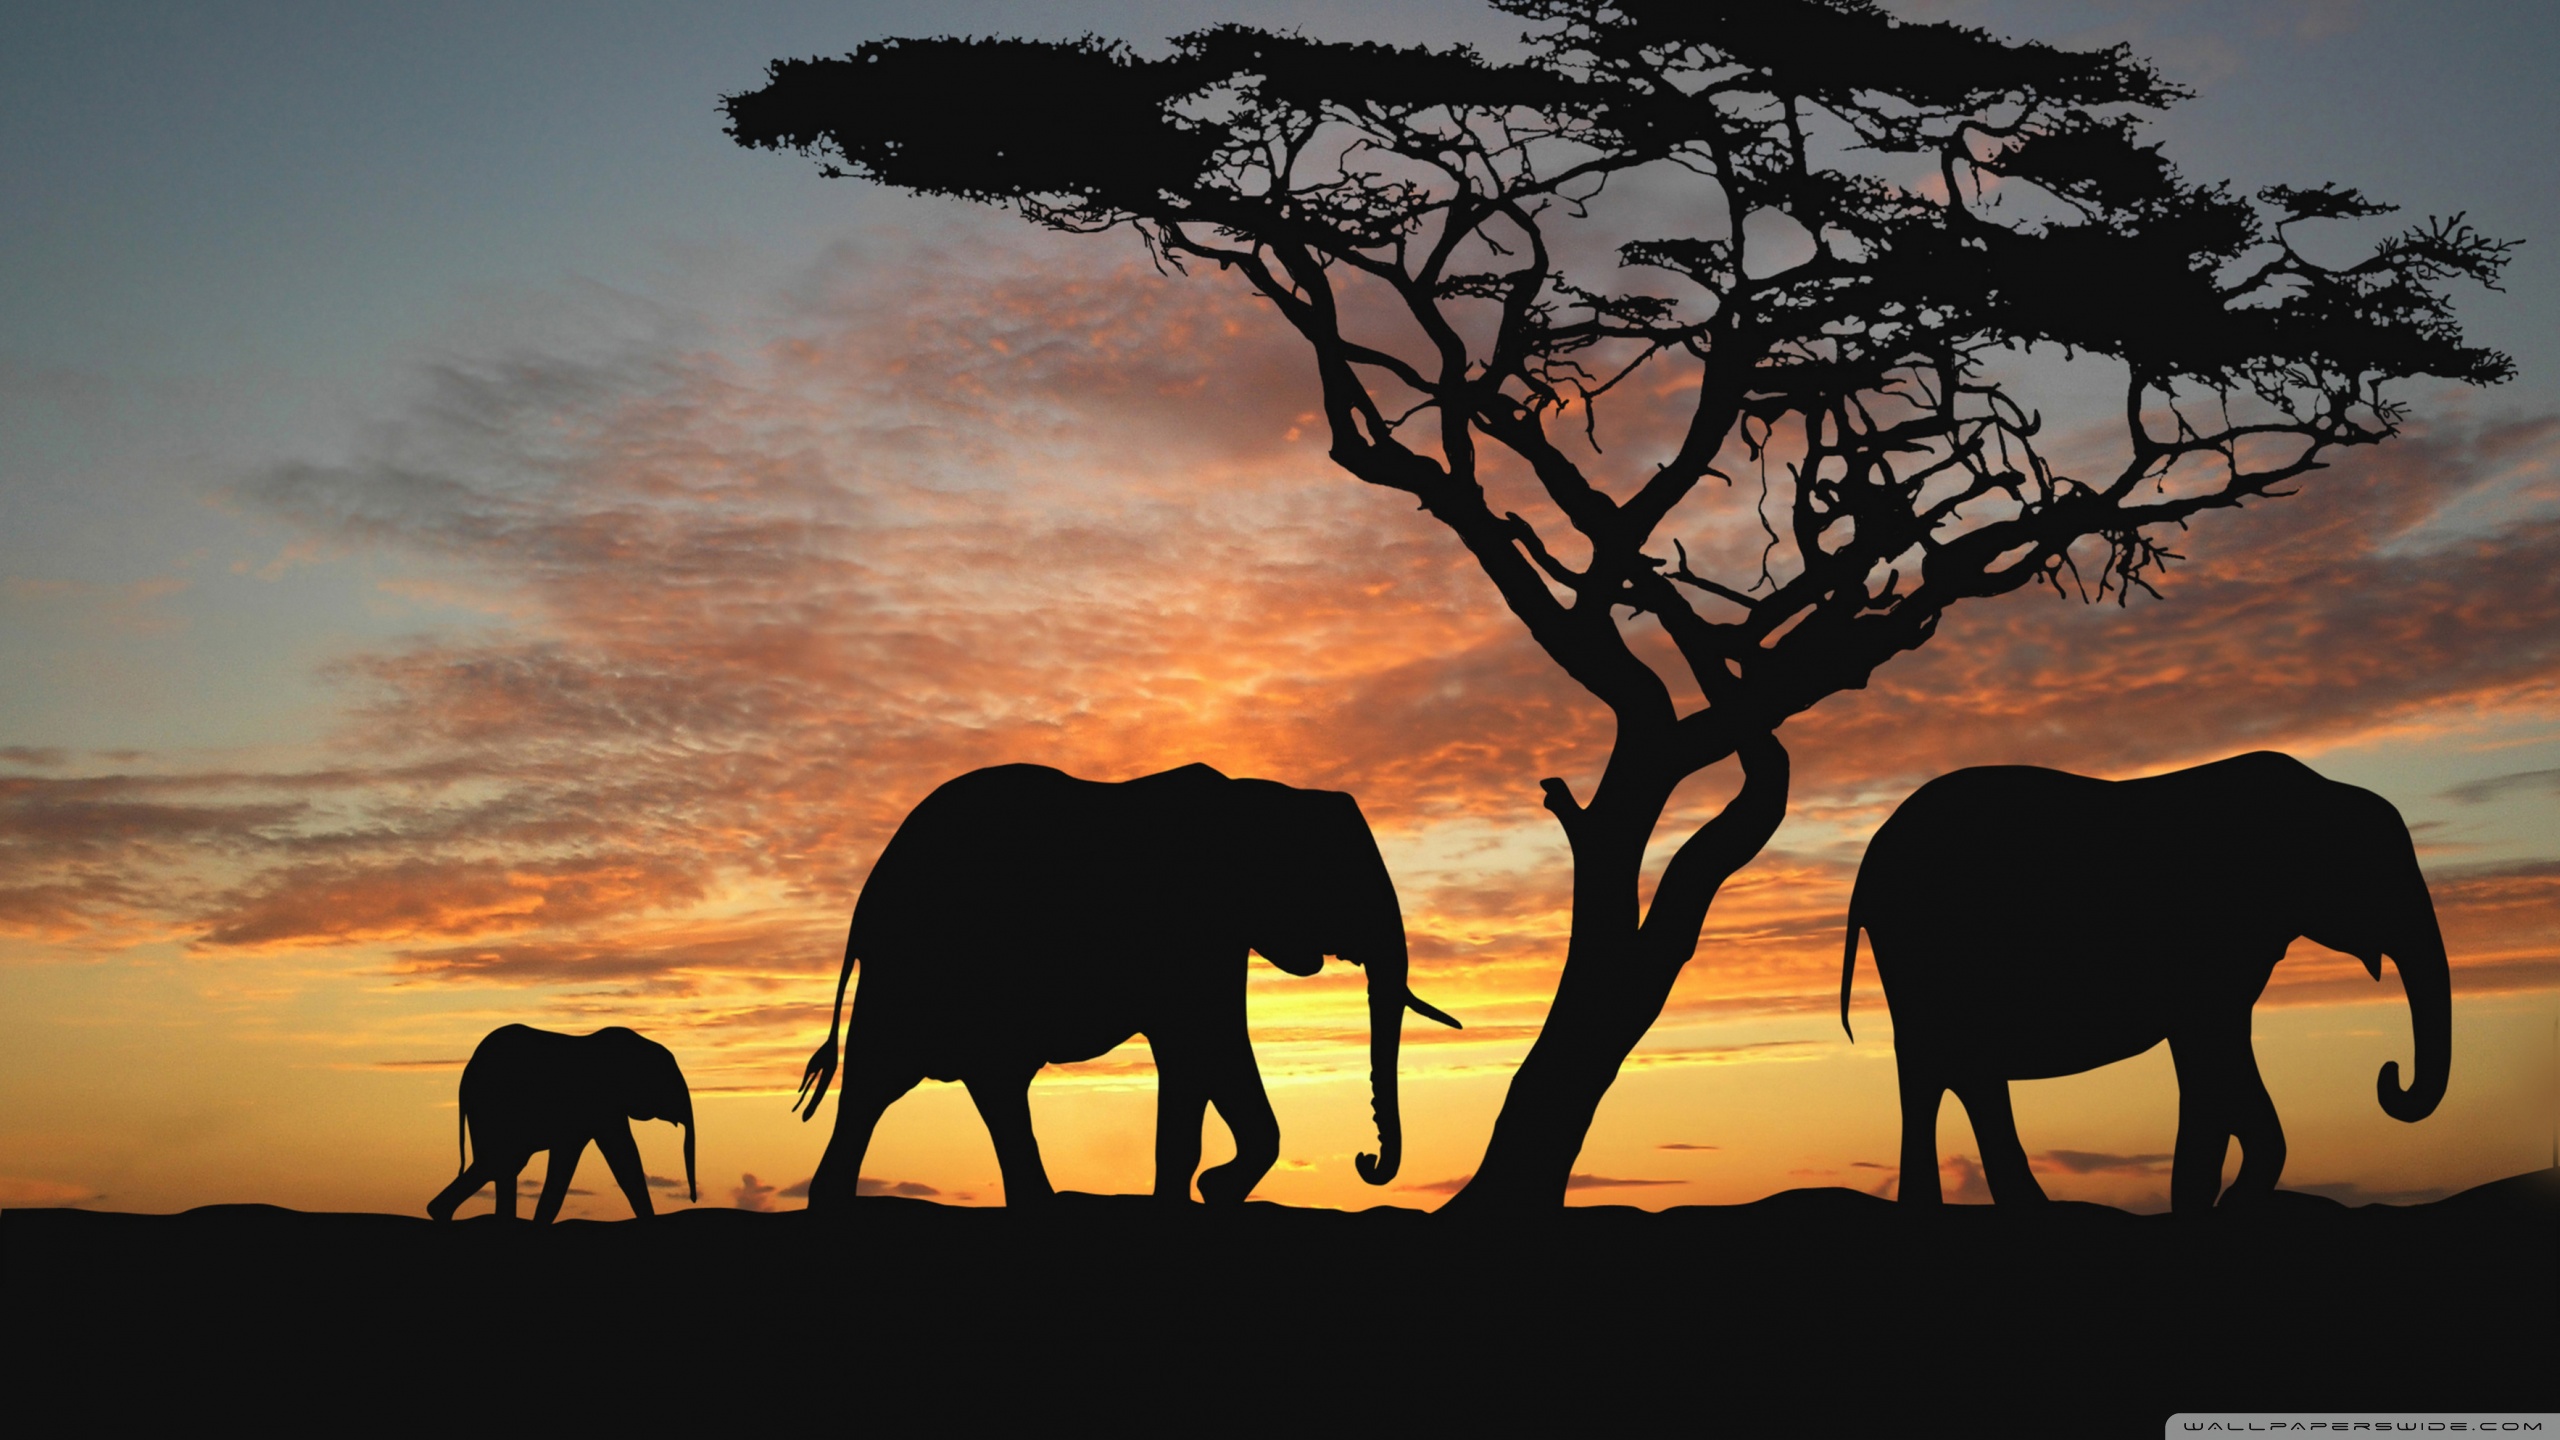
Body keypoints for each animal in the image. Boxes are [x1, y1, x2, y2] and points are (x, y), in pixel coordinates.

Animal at [426, 1024, 698, 1223]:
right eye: (670, 1081)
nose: (694, 1200)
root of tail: (466, 1072)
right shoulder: (600, 1104)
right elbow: (620, 1157)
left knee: (502, 1165)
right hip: (491, 1107)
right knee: (498, 1162)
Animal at [792, 762, 1458, 1209]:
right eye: (1343, 882)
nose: (1366, 1160)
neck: (1259, 795)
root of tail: (865, 902)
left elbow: (1206, 1056)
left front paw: (1207, 1192)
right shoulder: (1194, 930)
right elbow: (1205, 1044)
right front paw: (1206, 1190)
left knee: (958, 1084)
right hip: (919, 966)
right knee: (891, 1080)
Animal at [1839, 751, 2449, 1213]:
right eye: (2379, 873)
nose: (2389, 1076)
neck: (2317, 791)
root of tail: (1869, 861)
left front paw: (2215, 1202)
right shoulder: (2209, 950)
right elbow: (2213, 1059)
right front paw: (2213, 1204)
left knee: (1954, 1072)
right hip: (1926, 951)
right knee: (1943, 1069)